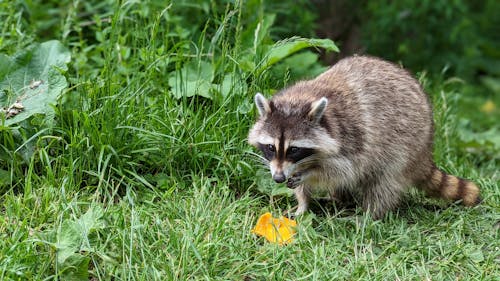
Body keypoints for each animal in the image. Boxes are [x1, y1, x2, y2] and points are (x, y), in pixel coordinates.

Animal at [248, 54, 482, 217]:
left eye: (294, 149)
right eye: (271, 147)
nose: (278, 178)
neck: (300, 99)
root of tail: (426, 151)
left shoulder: (354, 135)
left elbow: (344, 170)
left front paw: (309, 174)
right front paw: (302, 204)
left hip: (406, 145)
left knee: (384, 181)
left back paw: (368, 215)